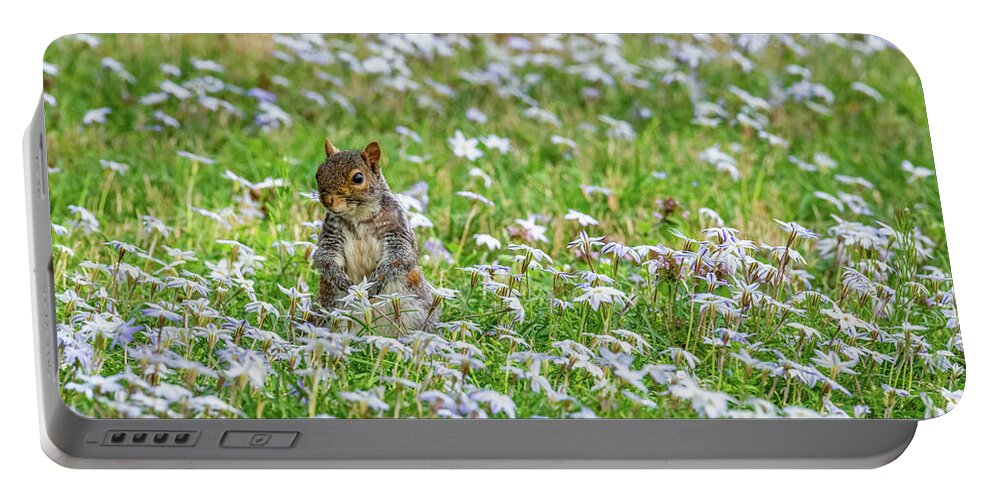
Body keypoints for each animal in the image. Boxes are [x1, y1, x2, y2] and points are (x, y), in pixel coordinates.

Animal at [310, 139, 434, 334]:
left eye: (358, 178)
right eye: (318, 174)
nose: (326, 200)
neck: (359, 216)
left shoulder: (397, 230)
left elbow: (401, 257)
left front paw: (377, 281)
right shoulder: (331, 236)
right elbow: (324, 257)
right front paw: (340, 279)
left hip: (418, 310)